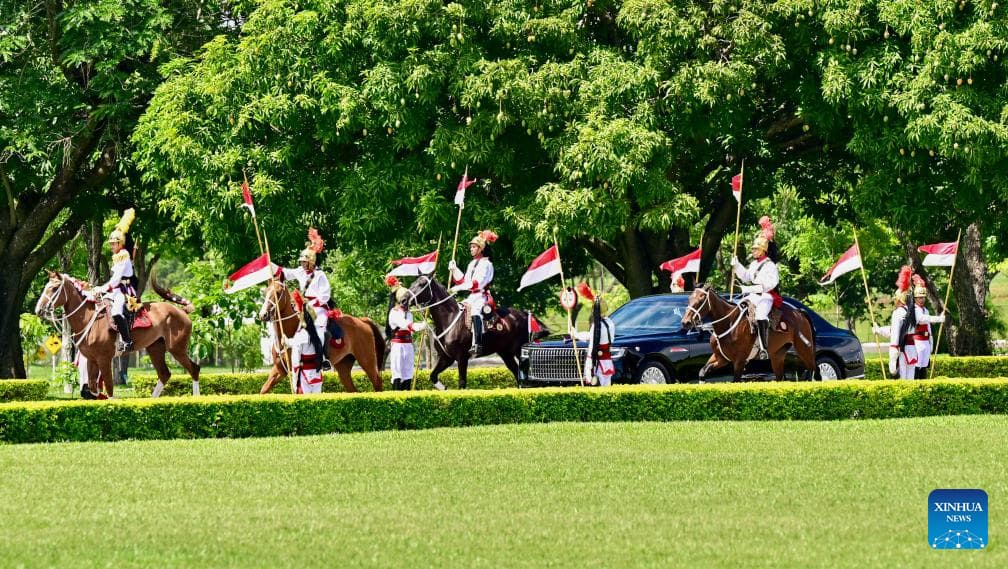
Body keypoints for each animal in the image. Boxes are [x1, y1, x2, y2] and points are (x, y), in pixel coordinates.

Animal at [33, 270, 200, 395]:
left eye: (54, 288)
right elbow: (93, 389)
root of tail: (181, 311)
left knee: (194, 369)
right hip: (155, 348)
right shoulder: (92, 359)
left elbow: (109, 389)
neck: (89, 318)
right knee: (165, 374)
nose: (38, 310)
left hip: (177, 349)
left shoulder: (104, 359)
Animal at [256, 278, 385, 393]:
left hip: (367, 361)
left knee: (377, 382)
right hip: (343, 366)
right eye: (265, 292)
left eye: (277, 293)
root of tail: (362, 320)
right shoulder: (280, 370)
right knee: (353, 390)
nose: (263, 315)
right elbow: (264, 389)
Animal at [403, 274, 552, 387]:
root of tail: (525, 314)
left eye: (422, 284)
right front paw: (444, 389)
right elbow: (433, 376)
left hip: (518, 351)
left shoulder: (462, 358)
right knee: (517, 375)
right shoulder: (446, 358)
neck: (449, 319)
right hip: (506, 354)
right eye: (413, 282)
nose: (403, 299)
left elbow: (462, 383)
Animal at [677, 284, 818, 381]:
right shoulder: (720, 358)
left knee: (813, 372)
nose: (685, 322)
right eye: (689, 299)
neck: (728, 323)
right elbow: (702, 372)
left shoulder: (739, 361)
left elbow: (735, 381)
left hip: (804, 350)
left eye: (701, 300)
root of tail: (799, 312)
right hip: (777, 356)